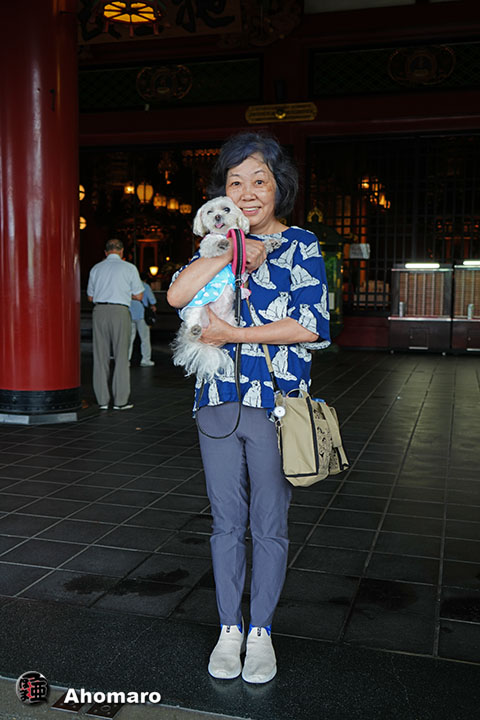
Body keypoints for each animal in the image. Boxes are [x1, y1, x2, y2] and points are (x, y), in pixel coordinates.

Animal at [171, 196, 250, 381]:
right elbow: (211, 244)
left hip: (231, 321)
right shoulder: (206, 248)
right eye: (209, 212)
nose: (218, 217)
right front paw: (221, 243)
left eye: (226, 209)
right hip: (197, 309)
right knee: (191, 326)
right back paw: (194, 331)